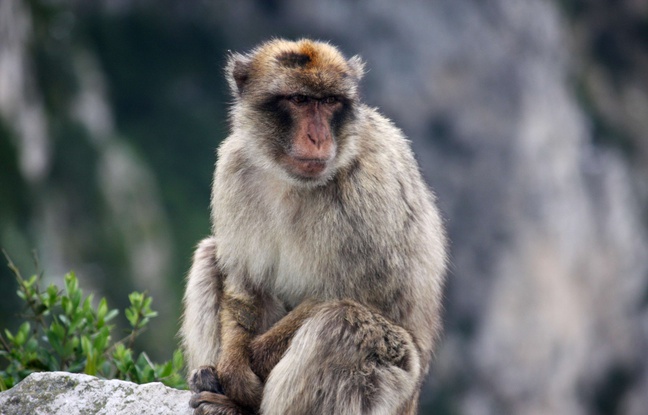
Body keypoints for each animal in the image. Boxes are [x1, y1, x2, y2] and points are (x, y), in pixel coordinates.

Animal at [180, 39, 447, 415]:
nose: (318, 137)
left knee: (342, 324)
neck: (291, 181)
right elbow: (246, 282)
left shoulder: (370, 188)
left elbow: (349, 295)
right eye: (300, 100)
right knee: (209, 255)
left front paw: (244, 370)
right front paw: (232, 365)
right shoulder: (234, 166)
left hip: (398, 391)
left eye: (330, 101)